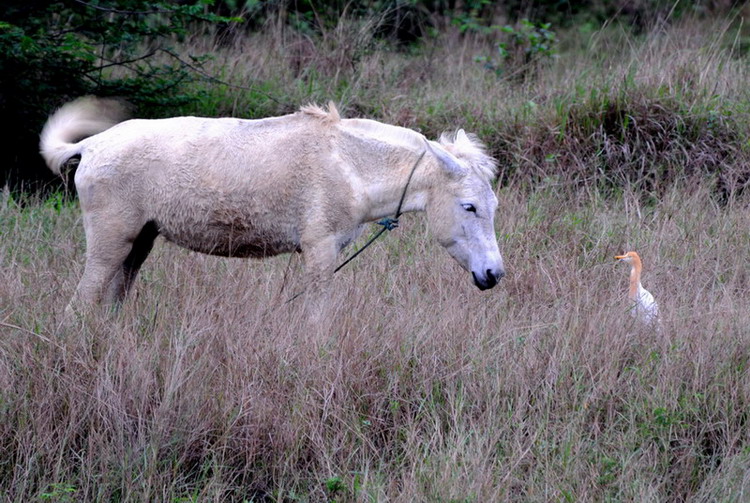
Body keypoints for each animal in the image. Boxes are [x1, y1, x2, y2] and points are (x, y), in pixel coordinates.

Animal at [36, 95, 506, 312]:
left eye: (493, 206)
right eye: (469, 207)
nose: (494, 275)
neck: (351, 163)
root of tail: (93, 145)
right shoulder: (320, 251)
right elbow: (318, 316)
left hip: (139, 244)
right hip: (110, 244)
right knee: (78, 307)